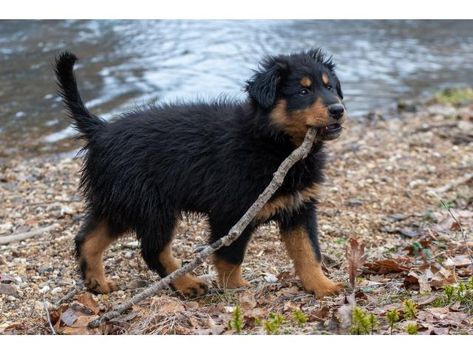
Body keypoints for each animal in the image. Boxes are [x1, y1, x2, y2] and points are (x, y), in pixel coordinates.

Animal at [55, 48, 346, 298]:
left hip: (122, 202)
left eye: (330, 87)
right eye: (303, 91)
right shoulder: (232, 211)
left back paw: (97, 283)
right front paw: (235, 288)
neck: (274, 142)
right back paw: (187, 284)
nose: (338, 110)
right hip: (152, 207)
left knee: (87, 239)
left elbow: (308, 251)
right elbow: (230, 256)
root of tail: (100, 130)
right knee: (153, 251)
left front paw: (322, 286)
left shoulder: (299, 207)